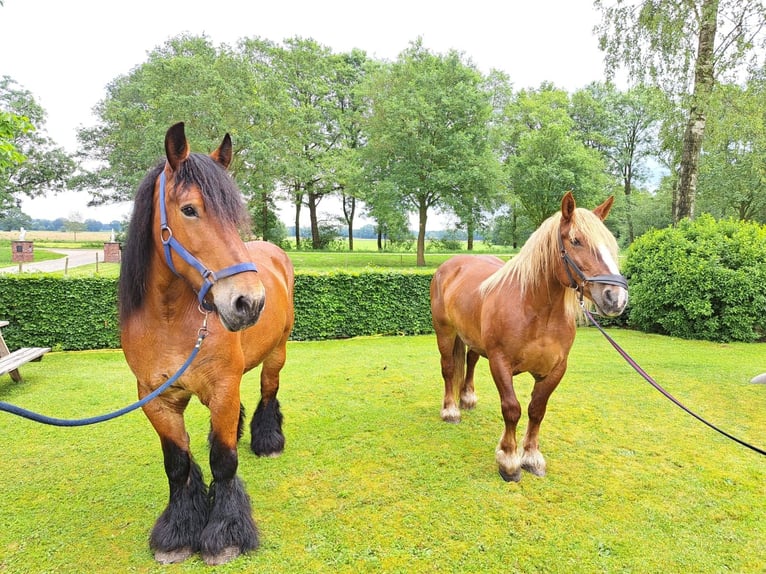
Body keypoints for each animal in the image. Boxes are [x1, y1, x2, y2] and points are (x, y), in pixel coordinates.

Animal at [118, 122, 296, 568]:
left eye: (235, 213)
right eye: (189, 210)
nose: (248, 302)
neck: (171, 322)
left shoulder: (222, 389)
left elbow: (224, 460)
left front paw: (226, 533)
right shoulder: (156, 399)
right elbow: (177, 465)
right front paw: (177, 532)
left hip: (277, 354)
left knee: (269, 391)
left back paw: (267, 441)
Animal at [432, 196, 632, 484]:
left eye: (610, 243)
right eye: (576, 240)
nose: (615, 298)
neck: (536, 311)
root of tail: (450, 266)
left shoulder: (555, 369)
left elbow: (537, 410)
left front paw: (532, 457)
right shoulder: (500, 363)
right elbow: (512, 409)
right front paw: (509, 461)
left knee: (470, 361)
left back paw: (467, 398)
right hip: (445, 333)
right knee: (449, 369)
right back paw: (450, 410)